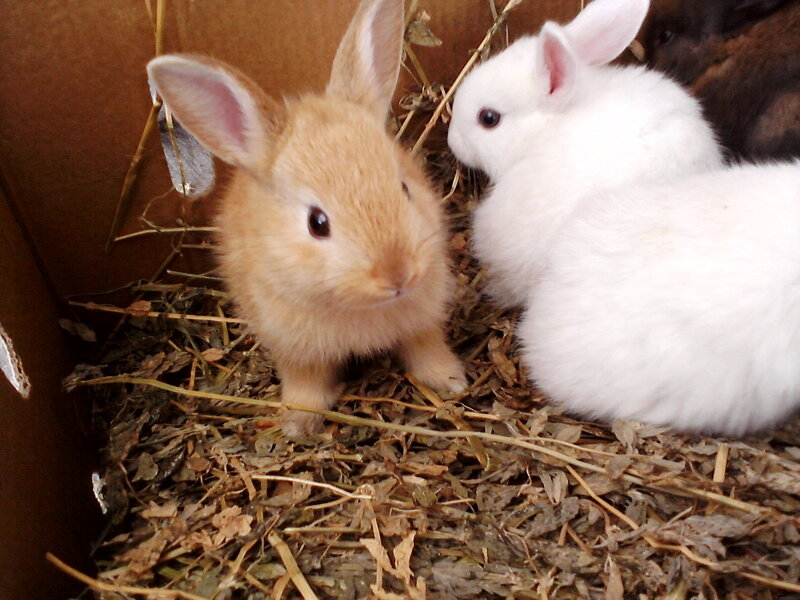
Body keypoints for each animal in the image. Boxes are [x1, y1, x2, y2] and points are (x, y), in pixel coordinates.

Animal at [147, 0, 466, 438]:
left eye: (404, 187)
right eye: (317, 223)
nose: (398, 275)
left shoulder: (423, 322)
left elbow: (426, 351)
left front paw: (452, 382)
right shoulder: (293, 347)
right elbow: (306, 383)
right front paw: (298, 424)